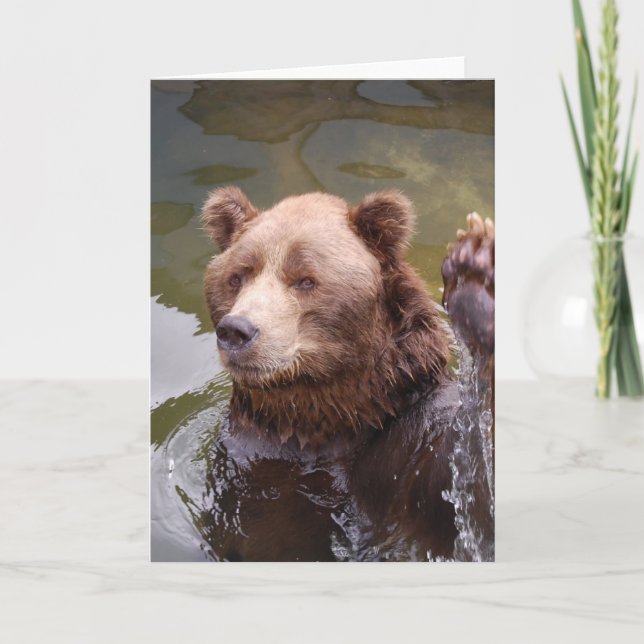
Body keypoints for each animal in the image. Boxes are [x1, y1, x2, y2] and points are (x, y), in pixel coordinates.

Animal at [197, 186, 495, 561]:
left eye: (305, 280)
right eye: (237, 276)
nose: (237, 330)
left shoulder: (405, 450)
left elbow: (468, 494)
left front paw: (477, 269)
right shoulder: (246, 453)